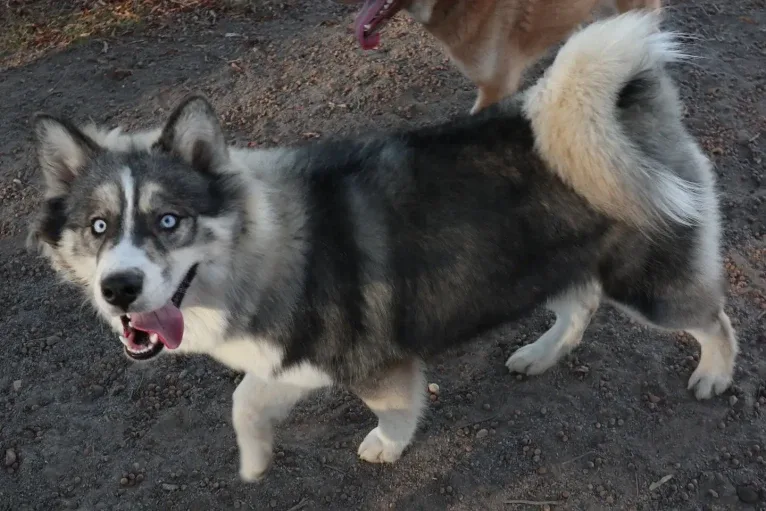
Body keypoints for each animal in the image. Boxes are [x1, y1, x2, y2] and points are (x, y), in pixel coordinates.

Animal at [28, 13, 736, 484]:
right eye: (99, 227)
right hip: (542, 263)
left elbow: (390, 407)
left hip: (648, 281)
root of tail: (627, 100)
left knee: (713, 319)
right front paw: (255, 462)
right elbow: (246, 401)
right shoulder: (291, 358)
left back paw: (715, 374)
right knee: (579, 306)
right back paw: (540, 353)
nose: (117, 289)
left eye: (169, 220)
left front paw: (386, 445)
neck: (261, 246)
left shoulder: (366, 359)